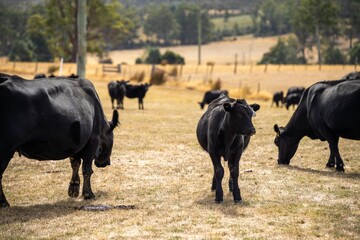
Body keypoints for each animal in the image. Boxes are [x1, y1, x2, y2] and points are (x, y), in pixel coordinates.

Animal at [0, 73, 121, 206]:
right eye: (112, 139)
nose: (107, 162)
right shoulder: (93, 140)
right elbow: (87, 169)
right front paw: (88, 194)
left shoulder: (76, 143)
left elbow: (75, 164)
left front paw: (73, 188)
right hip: (5, 148)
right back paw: (4, 203)